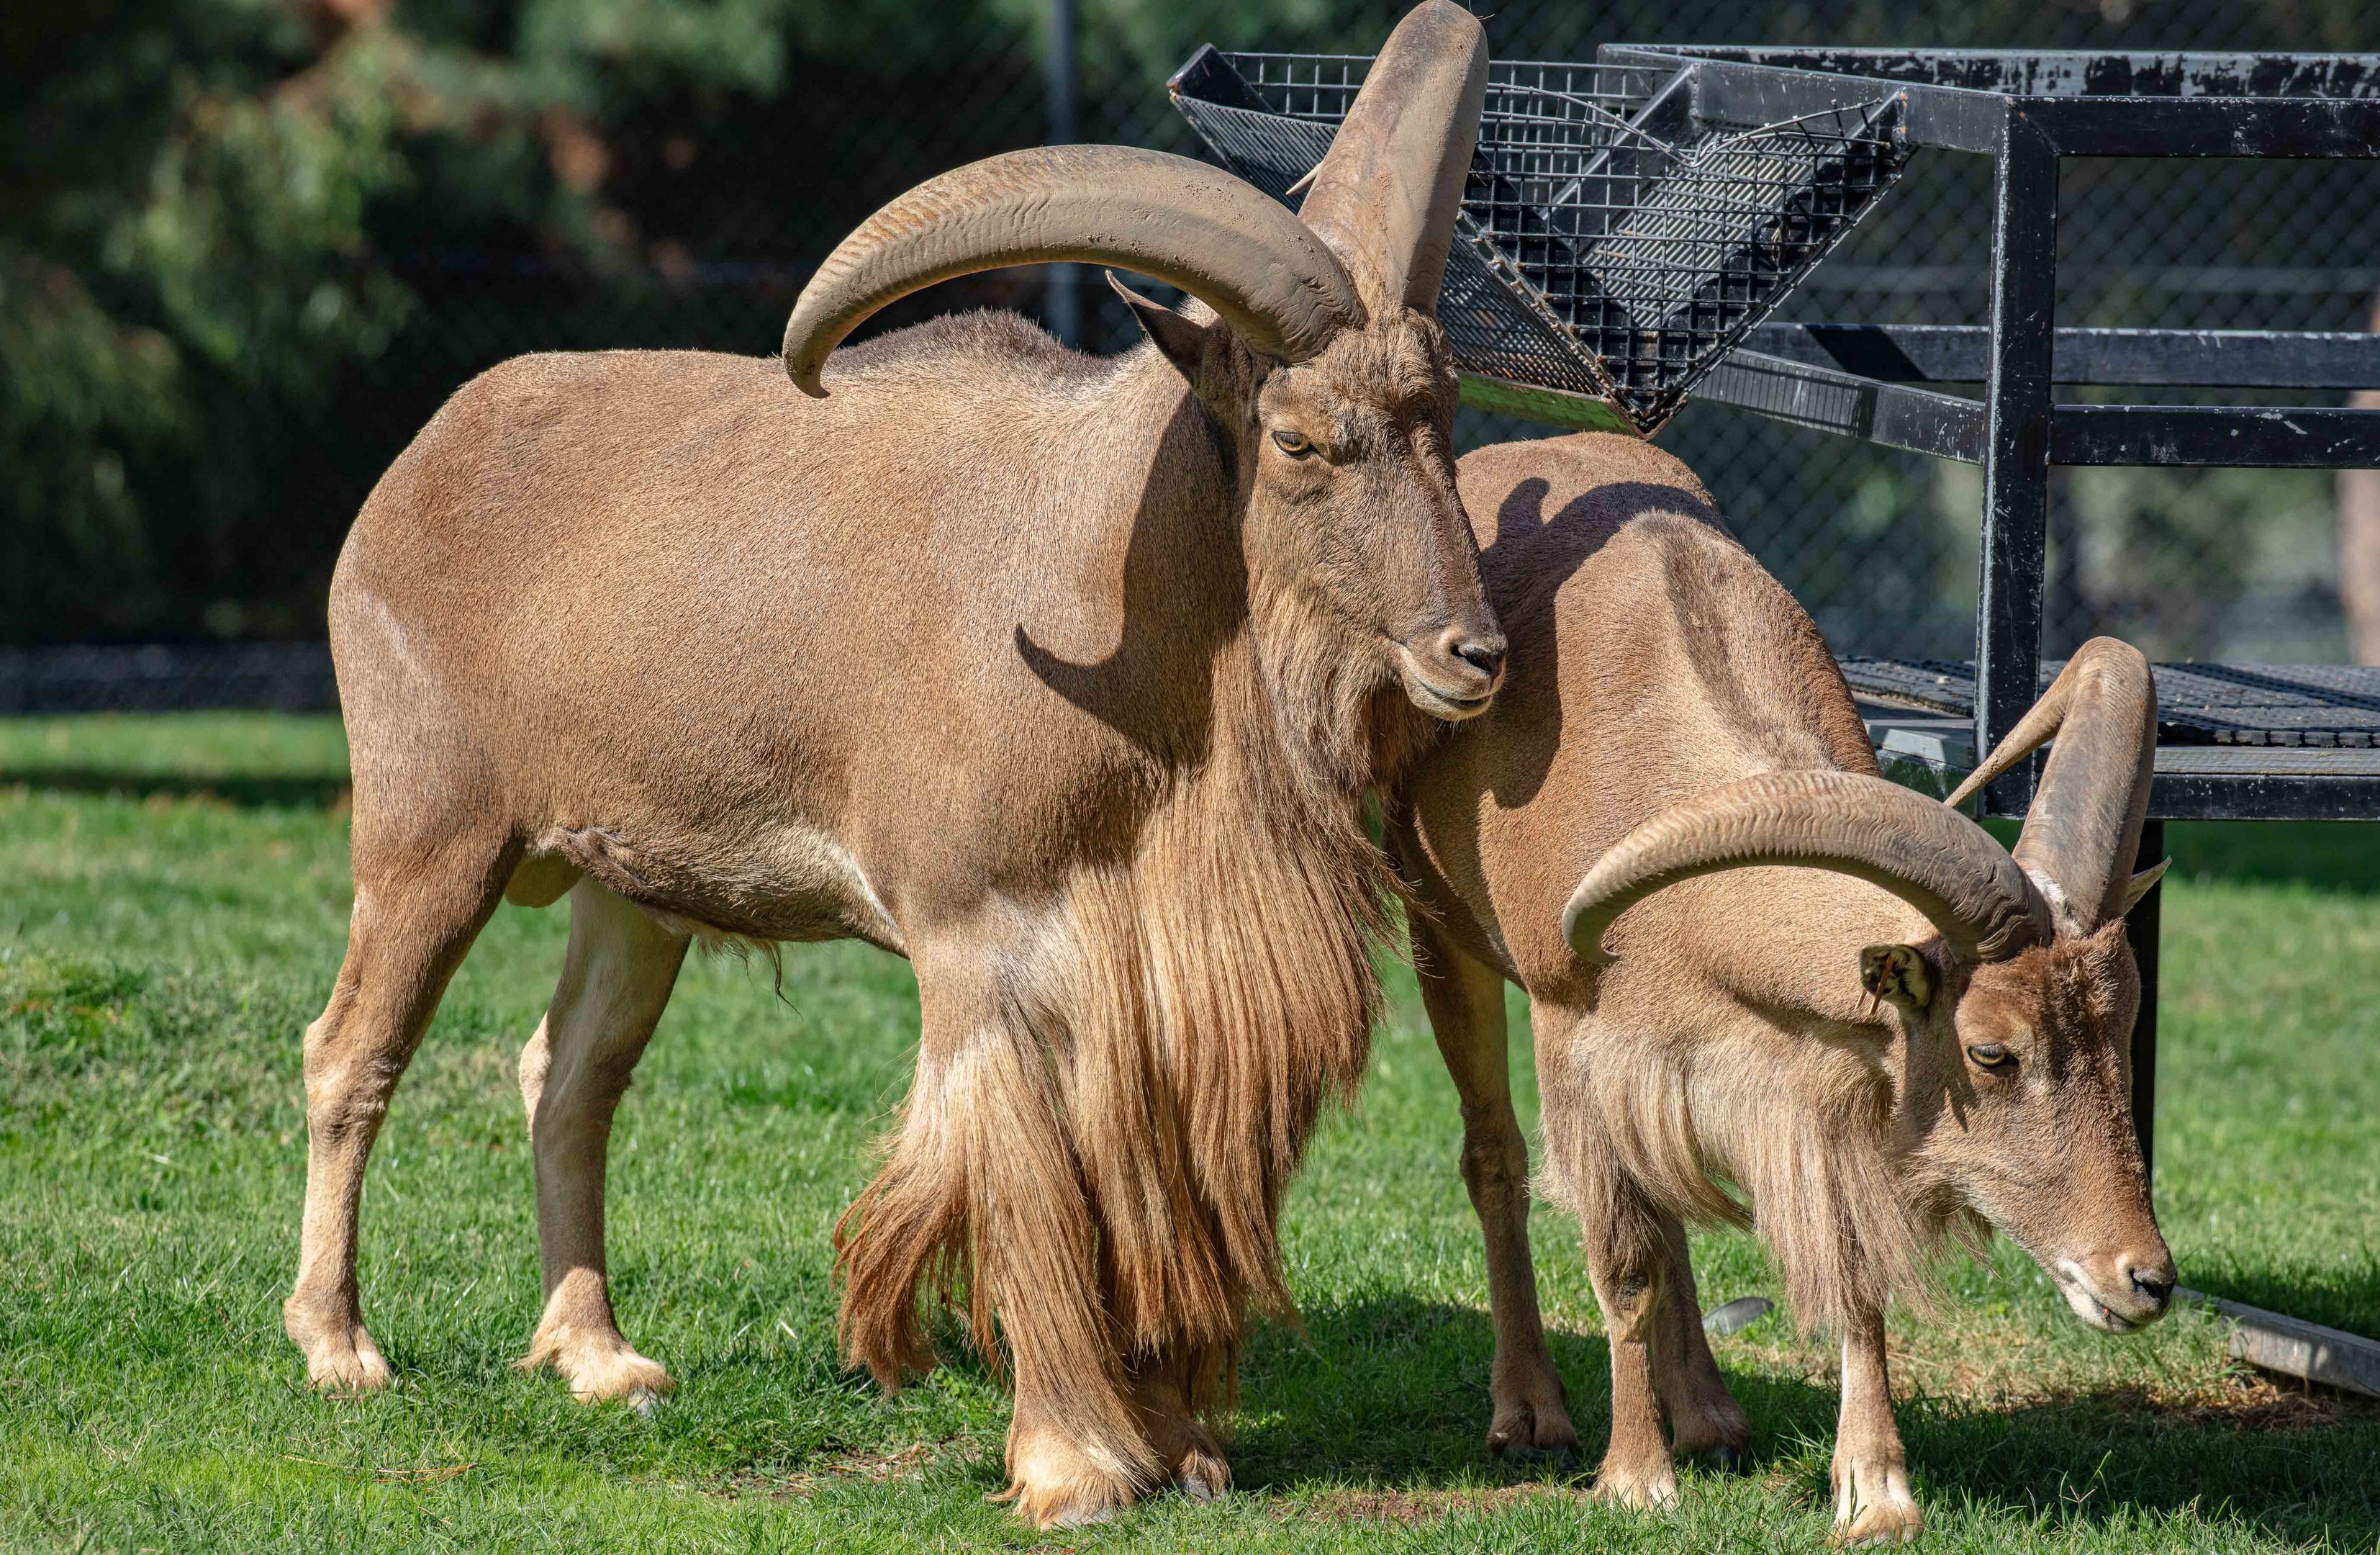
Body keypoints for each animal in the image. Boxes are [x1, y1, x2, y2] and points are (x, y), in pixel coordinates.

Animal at [283, 1, 1502, 1526]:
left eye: (1442, 420)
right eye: (1297, 439)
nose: (1474, 652)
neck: (1097, 586)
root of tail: (415, 465)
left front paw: (1183, 1445)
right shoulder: (983, 941)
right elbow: (1024, 1180)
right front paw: (1072, 1464)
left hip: (631, 890)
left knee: (566, 1078)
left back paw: (597, 1358)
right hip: (428, 836)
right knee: (352, 1054)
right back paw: (338, 1346)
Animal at [1392, 431, 2176, 1543]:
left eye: (2122, 1034)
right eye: (1991, 1052)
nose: (2144, 1279)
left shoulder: (1815, 1076)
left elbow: (1847, 1267)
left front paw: (1876, 1494)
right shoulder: (1576, 1038)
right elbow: (1620, 1261)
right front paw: (1634, 1479)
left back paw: (1710, 1415)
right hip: (1439, 933)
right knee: (1494, 1157)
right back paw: (1532, 1411)